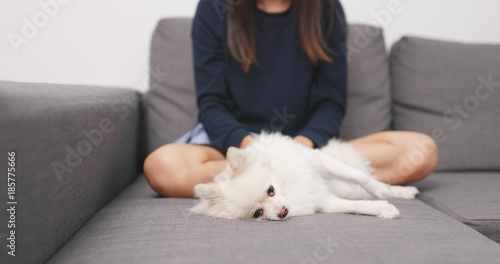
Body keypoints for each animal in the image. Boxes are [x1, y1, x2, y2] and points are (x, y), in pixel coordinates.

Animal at [191, 132, 418, 221]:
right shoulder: (322, 202)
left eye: (270, 190)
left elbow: (360, 177)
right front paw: (381, 208)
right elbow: (353, 206)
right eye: (257, 213)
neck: (289, 188)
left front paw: (385, 192)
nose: (283, 212)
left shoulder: (319, 160)